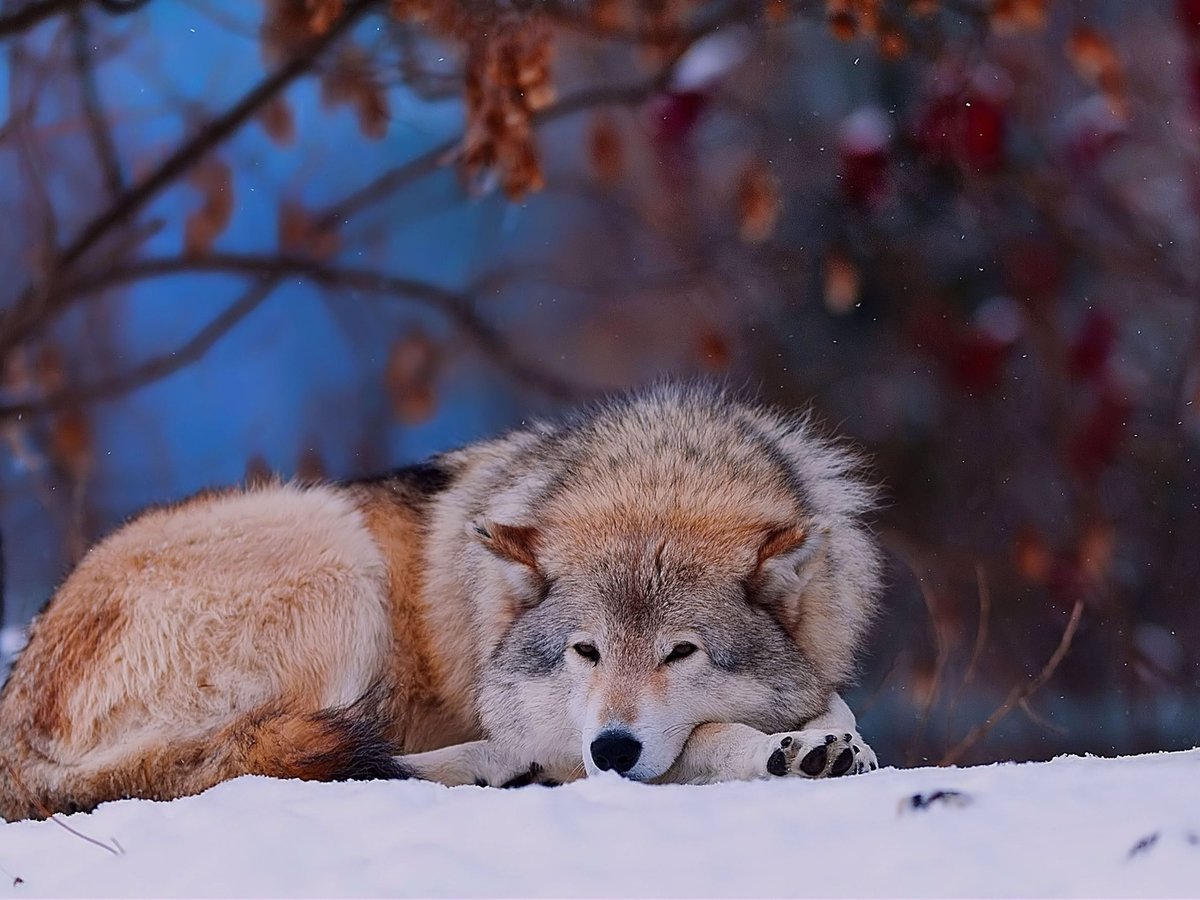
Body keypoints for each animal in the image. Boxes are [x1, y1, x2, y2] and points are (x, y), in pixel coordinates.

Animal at [0, 383, 882, 820]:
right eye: (585, 651)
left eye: (681, 652)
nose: (613, 748)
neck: (658, 472)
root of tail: (15, 708)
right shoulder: (564, 728)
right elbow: (702, 739)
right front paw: (782, 752)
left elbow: (832, 701)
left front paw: (830, 741)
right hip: (335, 551)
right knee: (272, 765)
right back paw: (501, 769)